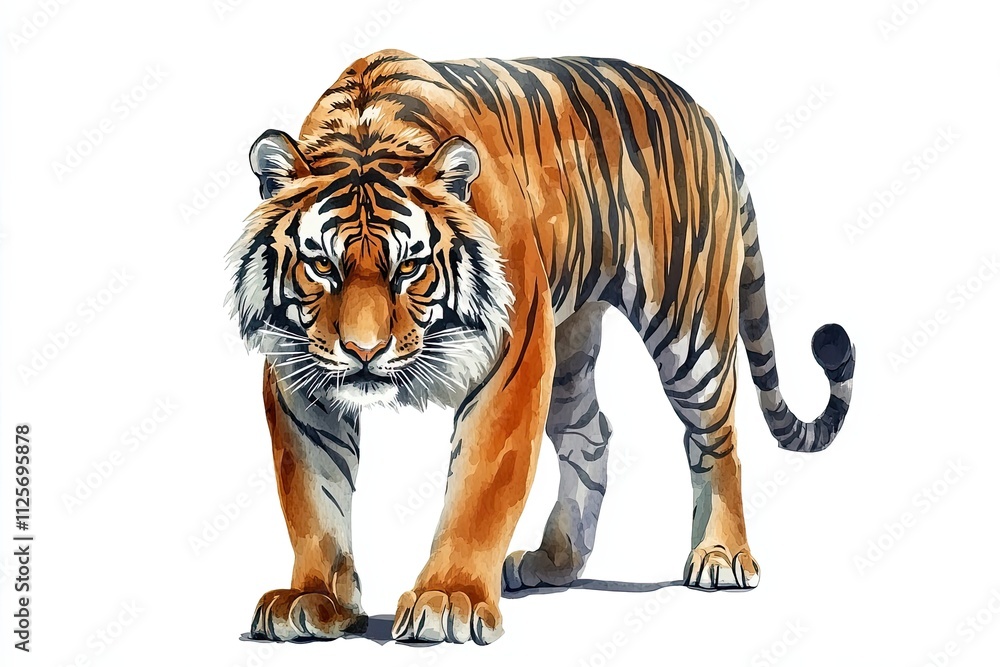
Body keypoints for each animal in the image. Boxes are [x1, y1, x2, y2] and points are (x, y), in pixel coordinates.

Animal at [227, 49, 855, 645]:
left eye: (409, 268)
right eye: (321, 265)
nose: (363, 351)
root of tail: (704, 117)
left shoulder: (511, 362)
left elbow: (480, 489)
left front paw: (448, 601)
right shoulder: (297, 377)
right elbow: (312, 496)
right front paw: (315, 601)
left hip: (688, 326)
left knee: (715, 439)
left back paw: (721, 556)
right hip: (569, 343)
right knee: (591, 434)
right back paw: (555, 561)